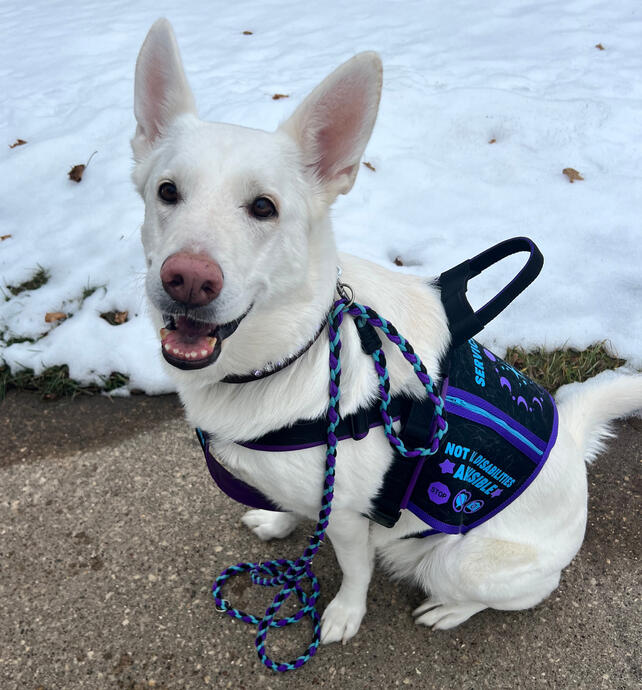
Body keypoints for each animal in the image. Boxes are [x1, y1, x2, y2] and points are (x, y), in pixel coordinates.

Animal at [131, 18, 640, 644]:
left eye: (263, 207)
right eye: (167, 192)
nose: (187, 279)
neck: (293, 354)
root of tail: (569, 440)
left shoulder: (352, 519)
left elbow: (354, 570)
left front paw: (344, 615)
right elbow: (299, 507)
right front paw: (278, 520)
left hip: (459, 562)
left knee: (512, 592)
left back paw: (447, 609)